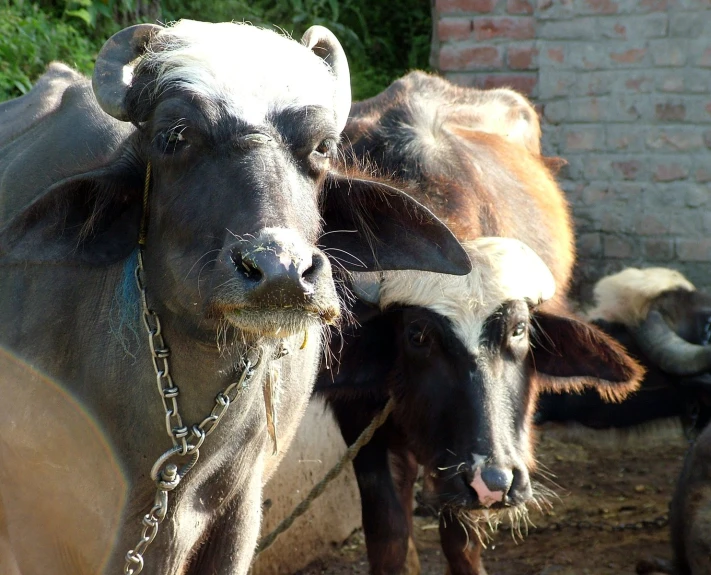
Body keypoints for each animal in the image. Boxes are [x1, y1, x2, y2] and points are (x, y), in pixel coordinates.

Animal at [314, 72, 644, 575]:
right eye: (417, 335)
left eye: (519, 330)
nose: (493, 481)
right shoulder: (359, 420)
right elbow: (388, 530)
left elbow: (460, 539)